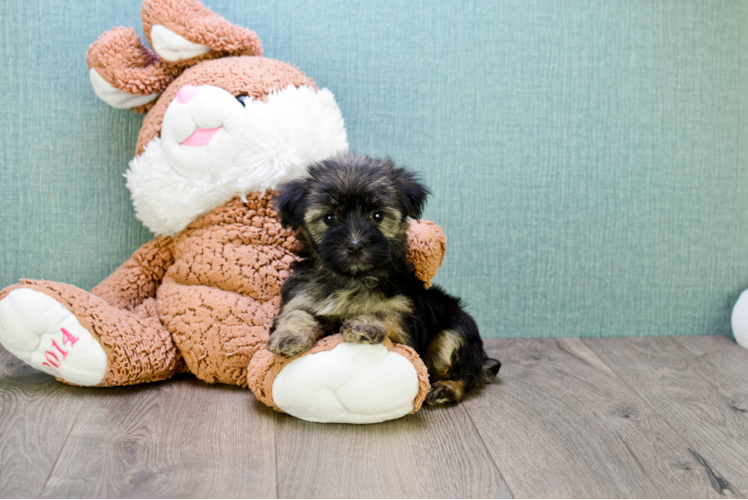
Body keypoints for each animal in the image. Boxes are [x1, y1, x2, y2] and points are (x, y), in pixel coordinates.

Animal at [266, 154, 500, 404]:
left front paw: (365, 323)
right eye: (329, 217)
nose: (355, 244)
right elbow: (296, 313)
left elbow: (386, 312)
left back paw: (447, 388)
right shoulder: (300, 297)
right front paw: (289, 336)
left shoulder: (408, 320)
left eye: (377, 215)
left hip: (456, 331)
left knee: (467, 371)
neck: (353, 278)